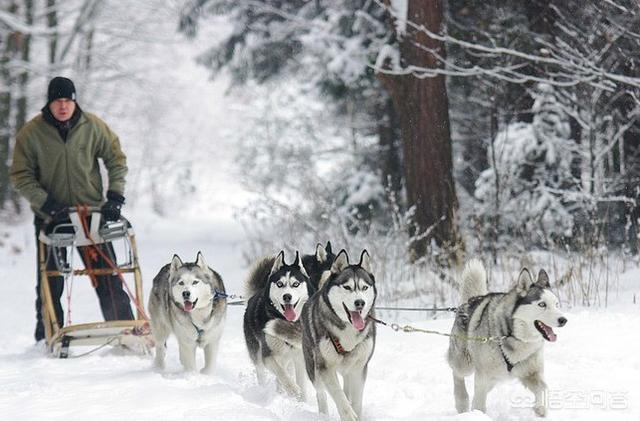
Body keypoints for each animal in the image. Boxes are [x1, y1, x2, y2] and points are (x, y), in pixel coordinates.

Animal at [242, 251, 312, 398]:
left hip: (288, 358)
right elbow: (281, 374)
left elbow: (301, 383)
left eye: (295, 284)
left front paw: (302, 399)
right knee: (264, 373)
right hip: (258, 354)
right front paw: (293, 389)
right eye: (280, 284)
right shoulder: (268, 355)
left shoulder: (299, 357)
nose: (287, 296)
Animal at [302, 249, 378, 420]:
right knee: (321, 394)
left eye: (364, 287)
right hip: (313, 368)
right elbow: (339, 396)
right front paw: (349, 414)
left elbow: (356, 401)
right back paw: (323, 414)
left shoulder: (359, 368)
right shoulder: (325, 367)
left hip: (348, 369)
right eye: (347, 287)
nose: (360, 303)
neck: (347, 329)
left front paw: (356, 413)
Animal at [448, 260, 568, 416]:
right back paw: (462, 402)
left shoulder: (531, 373)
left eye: (556, 304)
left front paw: (540, 409)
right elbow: (479, 404)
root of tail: (470, 302)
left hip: (494, 378)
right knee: (457, 374)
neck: (515, 337)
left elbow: (543, 389)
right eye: (542, 304)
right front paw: (478, 415)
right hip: (465, 364)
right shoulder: (483, 376)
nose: (563, 320)